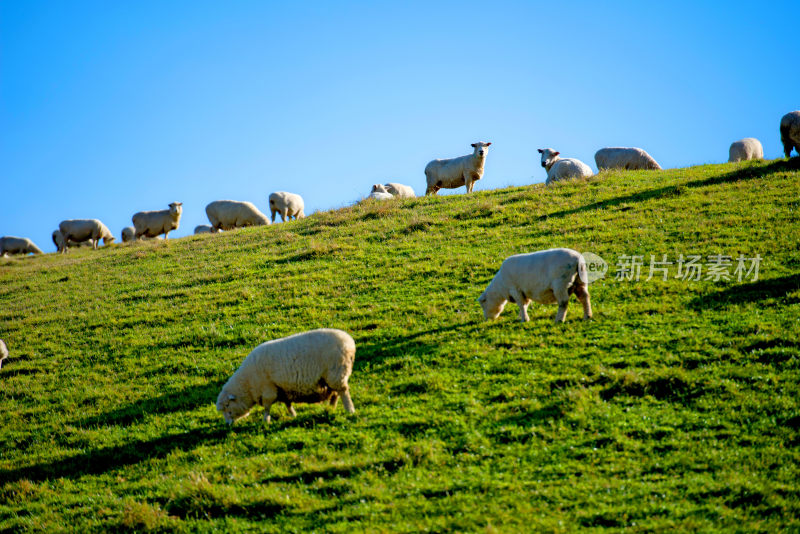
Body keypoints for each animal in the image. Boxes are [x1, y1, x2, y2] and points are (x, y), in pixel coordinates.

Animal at [217, 328, 358, 426]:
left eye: (227, 405)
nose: (228, 424)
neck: (247, 384)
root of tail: (349, 343)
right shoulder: (282, 389)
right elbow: (287, 404)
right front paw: (293, 415)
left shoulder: (268, 389)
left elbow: (267, 407)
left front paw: (265, 420)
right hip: (332, 376)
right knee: (335, 394)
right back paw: (330, 409)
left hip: (336, 372)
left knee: (343, 392)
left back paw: (349, 410)